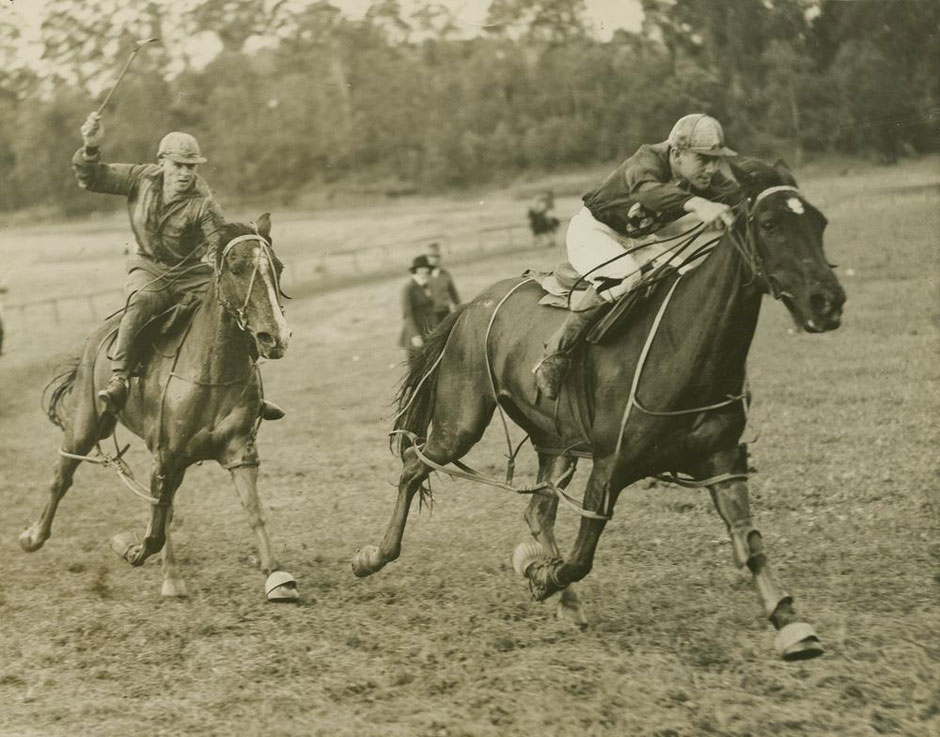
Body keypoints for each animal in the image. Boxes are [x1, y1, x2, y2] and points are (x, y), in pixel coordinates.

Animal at [21, 213, 298, 600]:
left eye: (278, 267)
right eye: (237, 268)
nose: (275, 337)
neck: (209, 373)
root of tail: (97, 338)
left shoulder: (238, 451)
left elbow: (253, 510)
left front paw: (276, 575)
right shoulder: (167, 455)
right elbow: (156, 528)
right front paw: (132, 550)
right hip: (85, 426)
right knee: (62, 476)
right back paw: (34, 536)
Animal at [352, 161, 844, 660]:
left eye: (820, 222)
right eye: (770, 224)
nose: (828, 302)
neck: (683, 345)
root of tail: (471, 304)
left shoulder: (723, 461)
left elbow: (749, 541)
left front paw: (791, 622)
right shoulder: (610, 466)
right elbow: (580, 556)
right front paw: (539, 573)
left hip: (555, 442)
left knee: (537, 511)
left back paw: (567, 602)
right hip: (461, 421)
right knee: (413, 466)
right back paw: (373, 556)